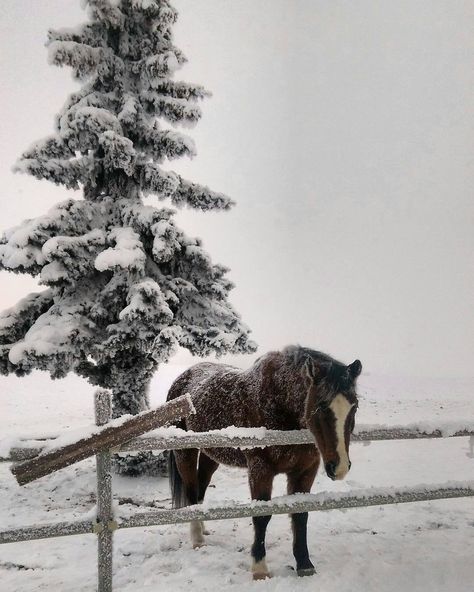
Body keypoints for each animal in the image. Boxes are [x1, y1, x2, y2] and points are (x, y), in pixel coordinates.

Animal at [166, 344, 360, 580]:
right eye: (321, 407)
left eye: (354, 407)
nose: (339, 467)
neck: (279, 403)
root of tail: (182, 378)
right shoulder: (261, 470)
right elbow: (262, 517)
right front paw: (259, 569)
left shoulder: (306, 471)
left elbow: (301, 514)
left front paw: (304, 564)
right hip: (185, 452)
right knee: (192, 493)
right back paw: (197, 539)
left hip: (210, 456)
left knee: (201, 489)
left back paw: (203, 529)